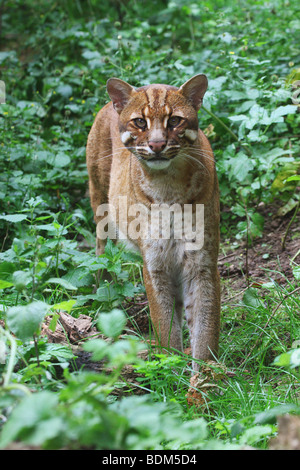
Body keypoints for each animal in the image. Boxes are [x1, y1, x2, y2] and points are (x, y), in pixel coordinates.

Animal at [86, 75, 220, 370]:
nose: (157, 145)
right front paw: (170, 366)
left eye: (175, 121)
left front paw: (206, 374)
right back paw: (104, 293)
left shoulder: (201, 261)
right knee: (101, 253)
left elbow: (205, 324)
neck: (167, 184)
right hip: (99, 205)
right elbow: (164, 322)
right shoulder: (155, 262)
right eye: (139, 122)